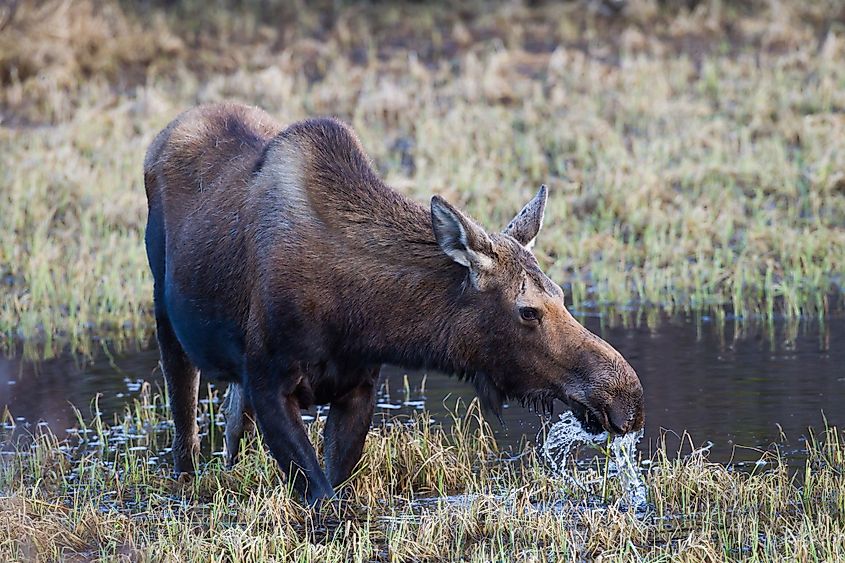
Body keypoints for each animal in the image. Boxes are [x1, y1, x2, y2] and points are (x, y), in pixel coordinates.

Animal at [145, 103, 648, 504]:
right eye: (528, 310)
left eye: (562, 295)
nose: (625, 397)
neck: (358, 317)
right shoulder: (270, 380)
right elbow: (323, 498)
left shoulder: (358, 385)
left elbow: (337, 481)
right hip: (165, 315)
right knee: (185, 431)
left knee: (232, 427)